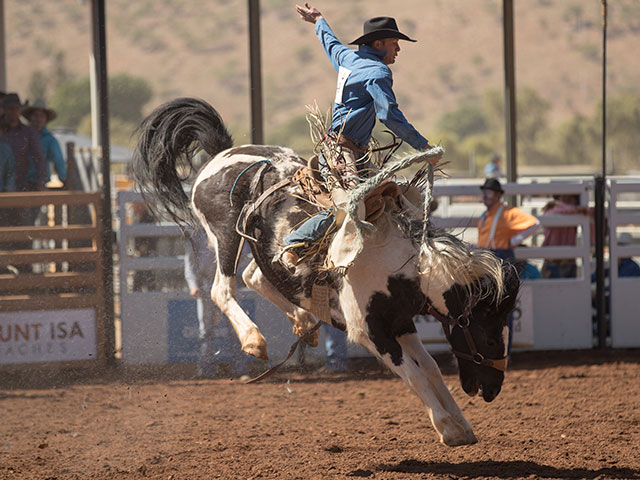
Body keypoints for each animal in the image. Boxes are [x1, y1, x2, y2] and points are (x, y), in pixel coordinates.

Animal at [131, 97, 520, 446]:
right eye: (489, 338)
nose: (492, 389)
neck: (399, 264)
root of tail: (222, 154)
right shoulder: (369, 332)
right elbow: (414, 375)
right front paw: (448, 428)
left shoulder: (401, 322)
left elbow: (432, 369)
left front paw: (460, 424)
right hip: (226, 236)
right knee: (222, 289)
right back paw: (254, 340)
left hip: (262, 250)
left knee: (254, 276)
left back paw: (305, 322)